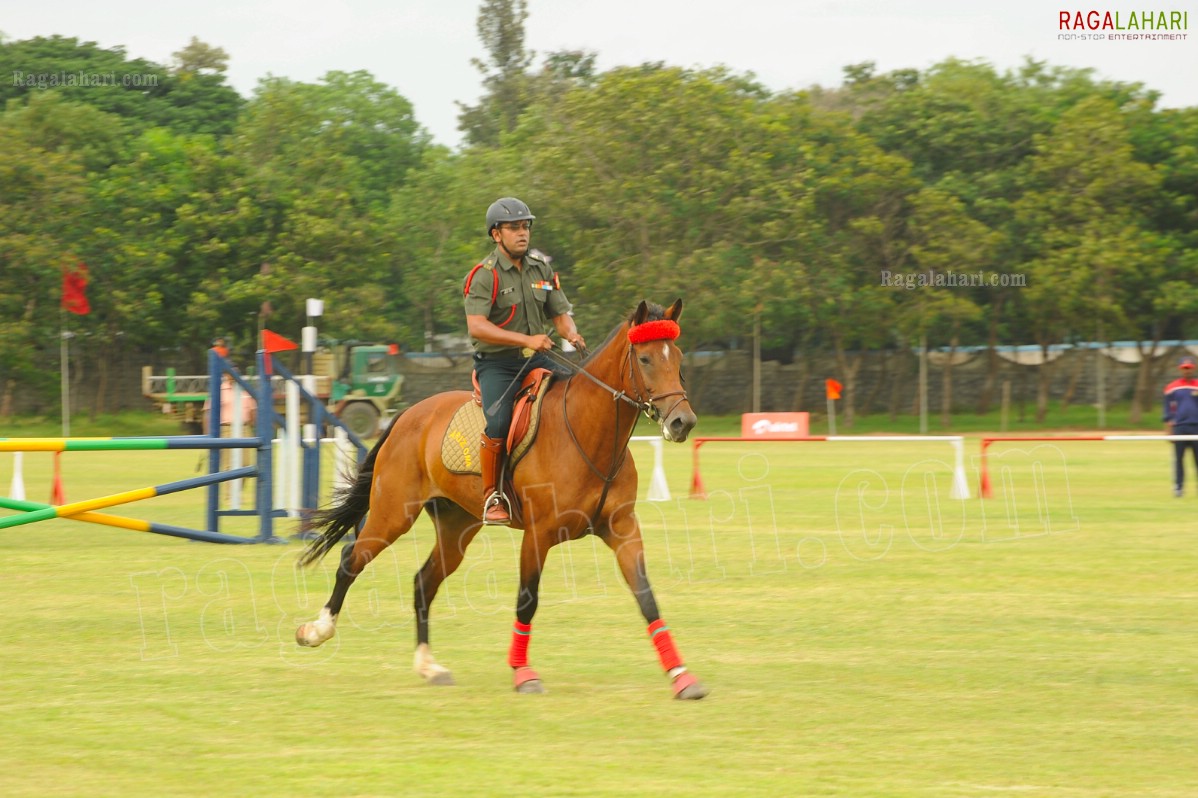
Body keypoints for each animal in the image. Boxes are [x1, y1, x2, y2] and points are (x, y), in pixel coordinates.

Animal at [295, 297, 704, 694]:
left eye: (677, 357)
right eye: (645, 359)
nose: (682, 422)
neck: (589, 434)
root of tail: (409, 415)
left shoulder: (622, 529)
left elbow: (646, 597)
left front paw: (682, 675)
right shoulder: (539, 535)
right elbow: (527, 600)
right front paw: (523, 673)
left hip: (455, 528)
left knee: (424, 582)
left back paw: (429, 666)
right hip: (393, 513)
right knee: (352, 559)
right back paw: (316, 630)